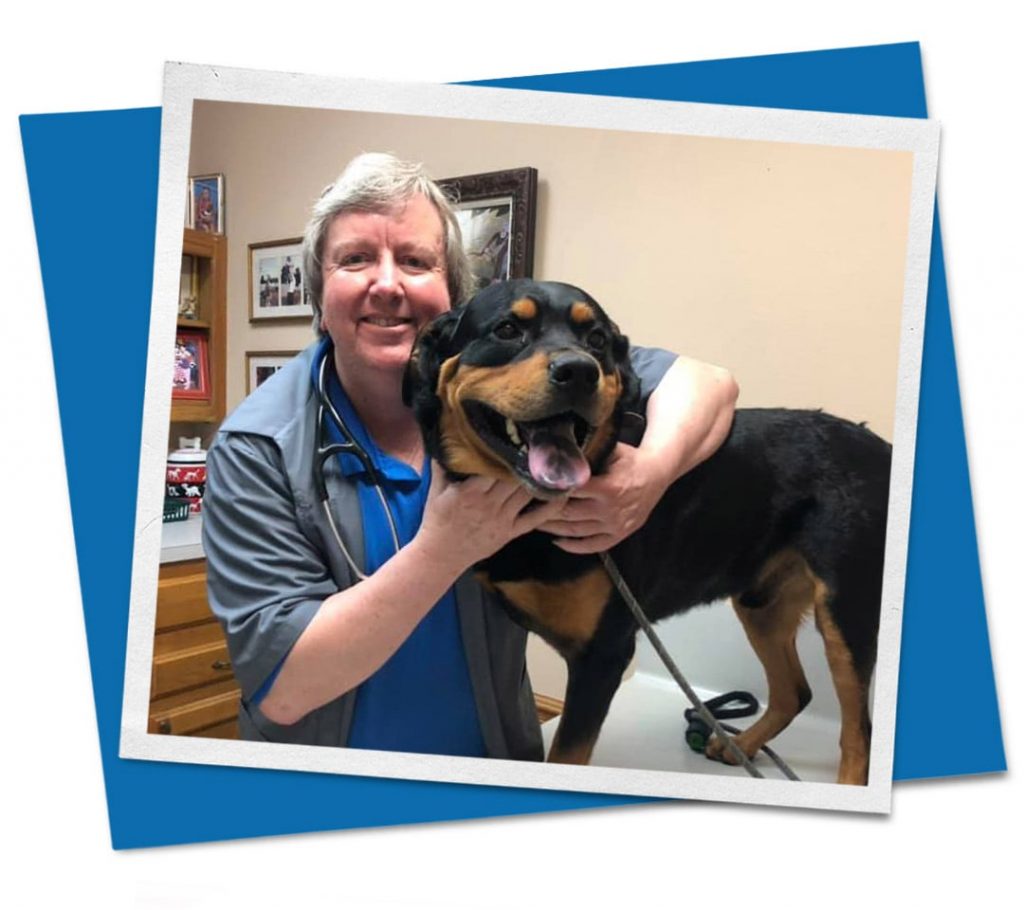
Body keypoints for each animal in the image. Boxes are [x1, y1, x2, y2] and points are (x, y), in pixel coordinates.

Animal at [403, 276, 892, 782]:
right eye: (506, 330)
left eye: (596, 340)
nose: (579, 372)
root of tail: (884, 449)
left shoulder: (604, 655)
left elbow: (568, 755)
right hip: (763, 602)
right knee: (795, 692)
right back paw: (741, 744)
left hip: (846, 609)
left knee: (858, 728)